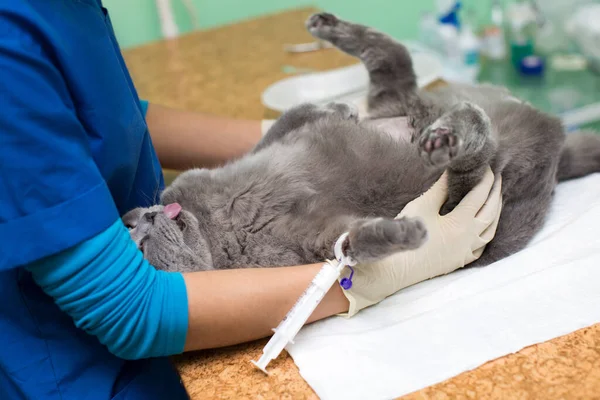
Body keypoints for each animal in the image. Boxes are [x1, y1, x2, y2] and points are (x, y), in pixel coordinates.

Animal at [122, 14, 600, 274]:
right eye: (140, 249)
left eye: (139, 237)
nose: (147, 217)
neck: (212, 223)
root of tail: (554, 134)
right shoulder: (310, 241)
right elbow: (353, 242)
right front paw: (405, 232)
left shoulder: (195, 179)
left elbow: (281, 126)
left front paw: (332, 109)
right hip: (478, 188)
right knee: (472, 150)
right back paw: (447, 137)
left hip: (401, 100)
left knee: (393, 56)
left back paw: (329, 30)